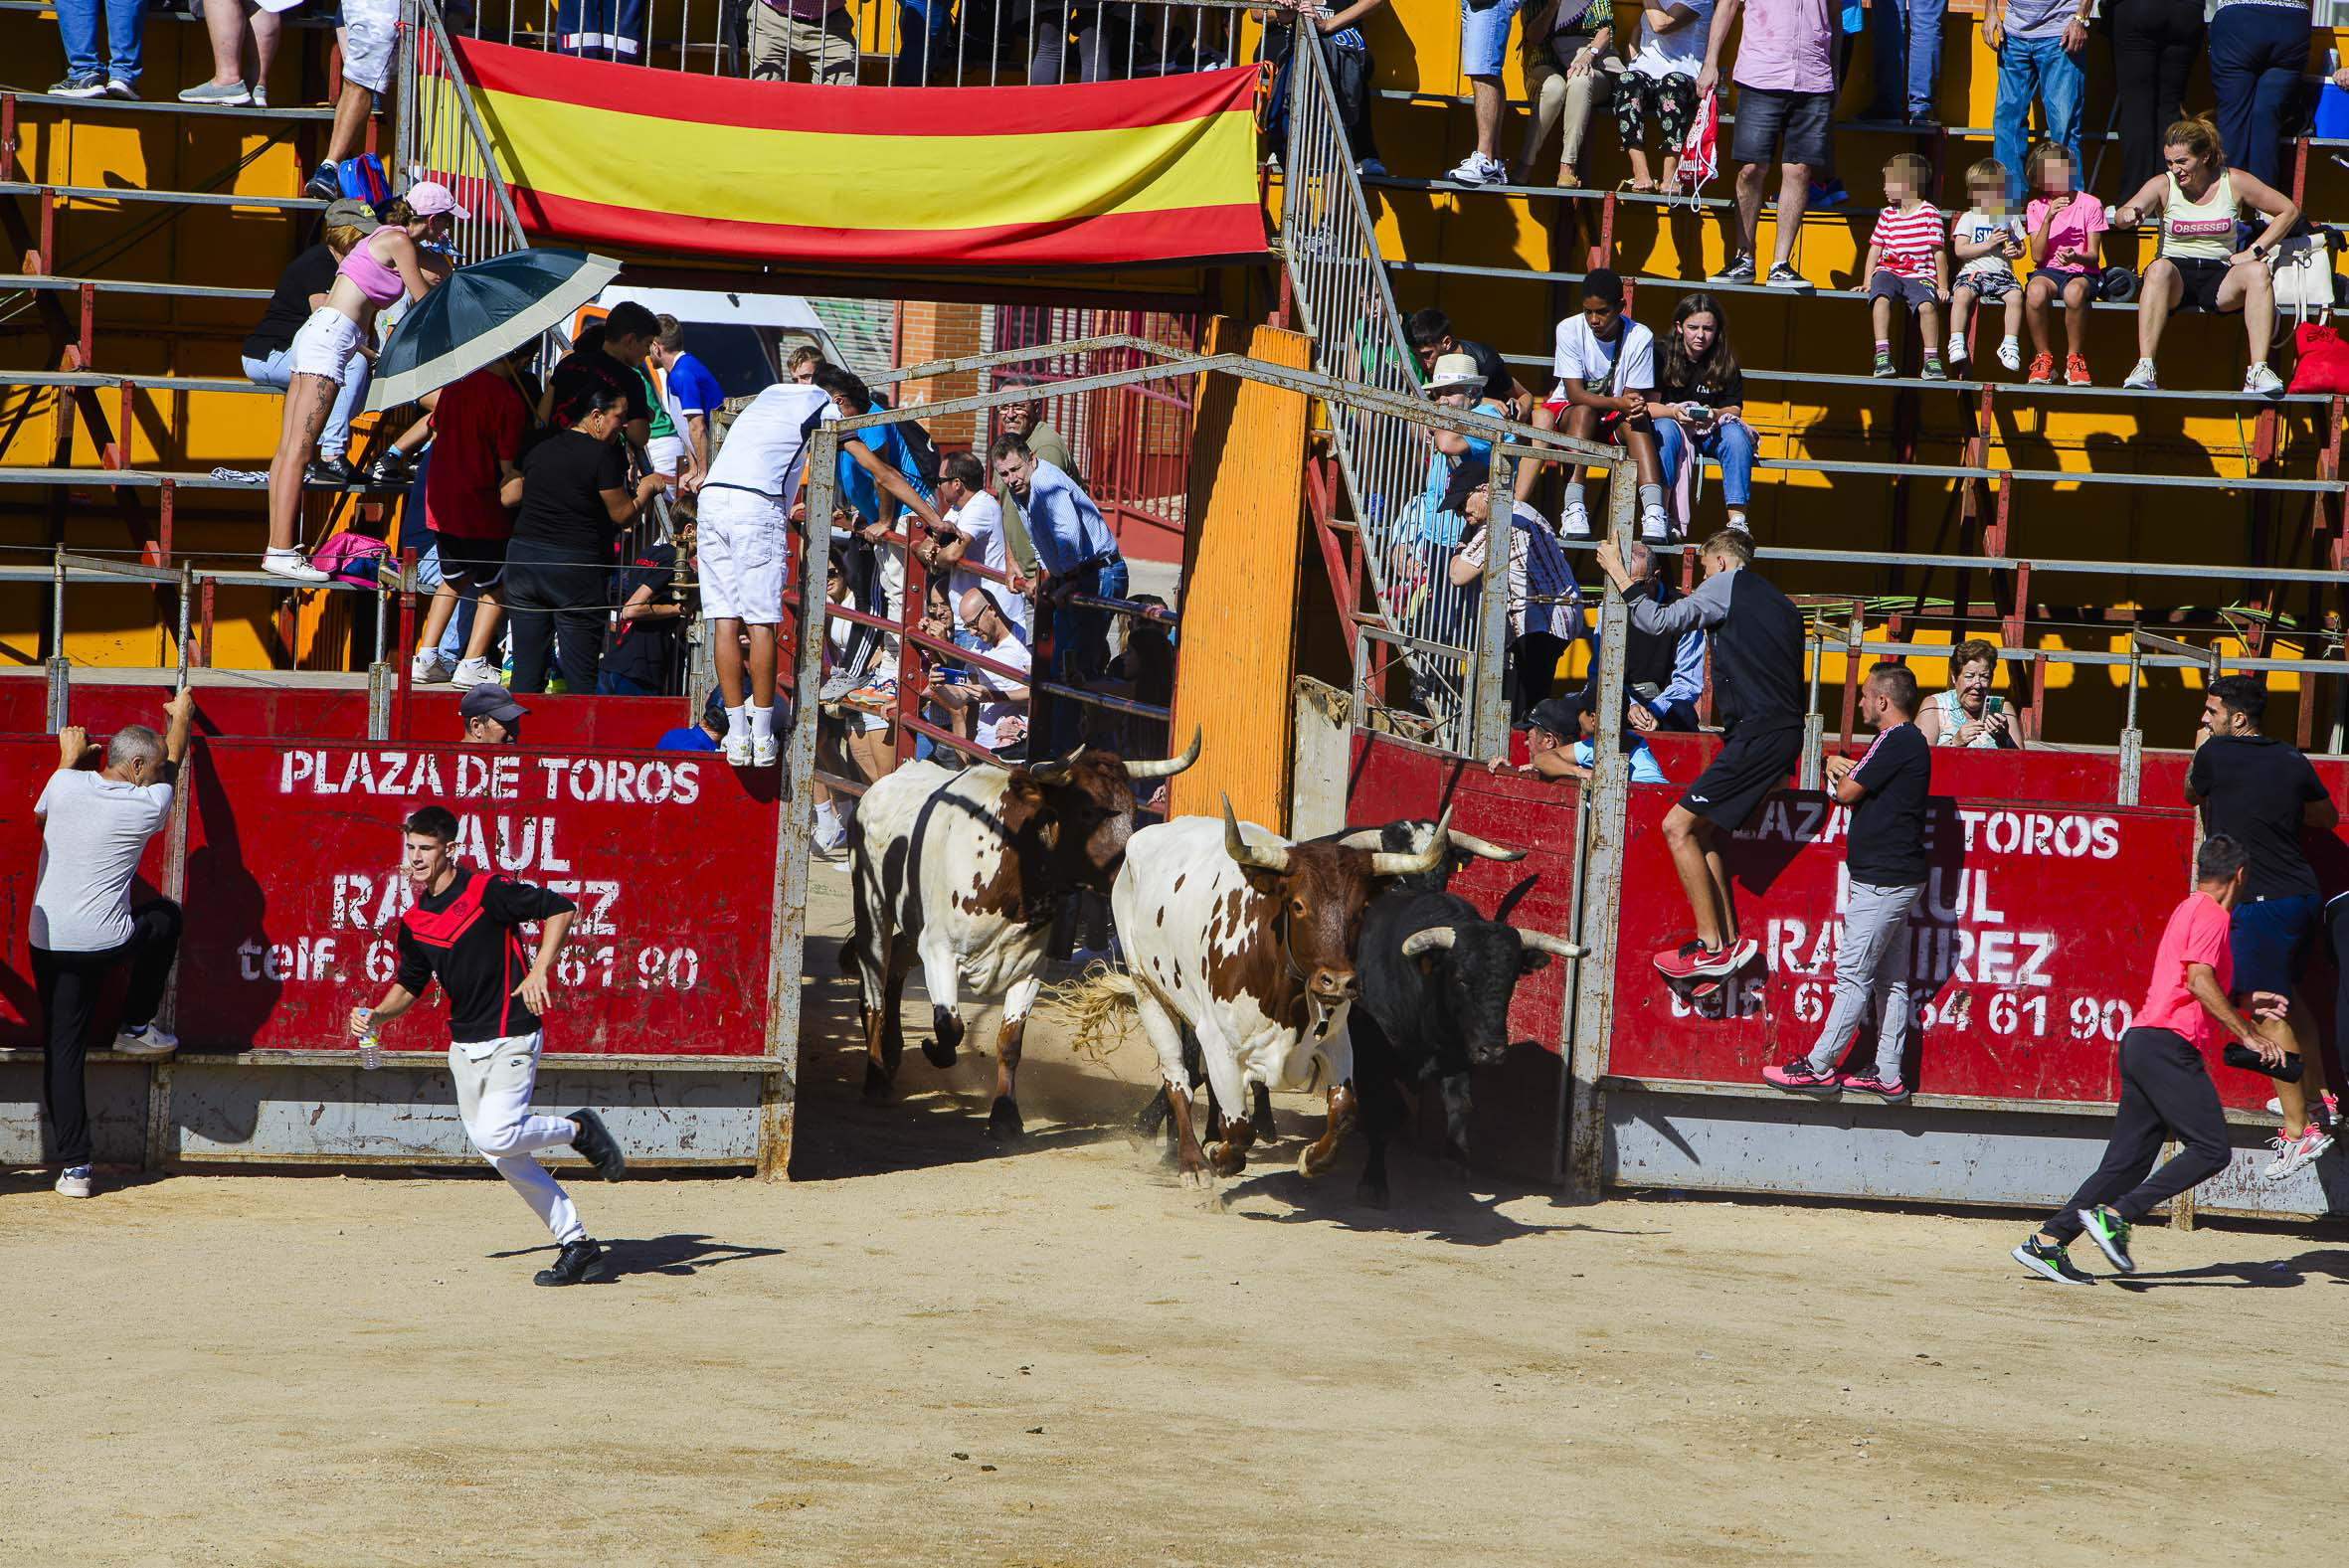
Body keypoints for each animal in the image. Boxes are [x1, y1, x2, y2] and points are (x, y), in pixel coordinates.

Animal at [850, 727, 1202, 1131]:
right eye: (1087, 811)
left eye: (1131, 809)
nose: (1130, 868)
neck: (1014, 862)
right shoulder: (939, 951)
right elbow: (949, 1025)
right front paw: (935, 1051)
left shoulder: (1030, 967)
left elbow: (1010, 1042)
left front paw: (1005, 1114)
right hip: (872, 909)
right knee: (873, 992)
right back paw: (876, 1076)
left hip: (911, 927)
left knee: (893, 968)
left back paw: (892, 1055)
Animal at [1094, 802, 1446, 1182]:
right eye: (1299, 905)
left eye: (1361, 909)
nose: (1337, 982)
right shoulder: (1218, 1042)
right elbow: (1239, 1128)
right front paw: (1217, 1154)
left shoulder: (1336, 1039)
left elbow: (1344, 1111)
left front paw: (1312, 1158)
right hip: (1149, 992)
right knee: (1178, 1079)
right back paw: (1191, 1160)